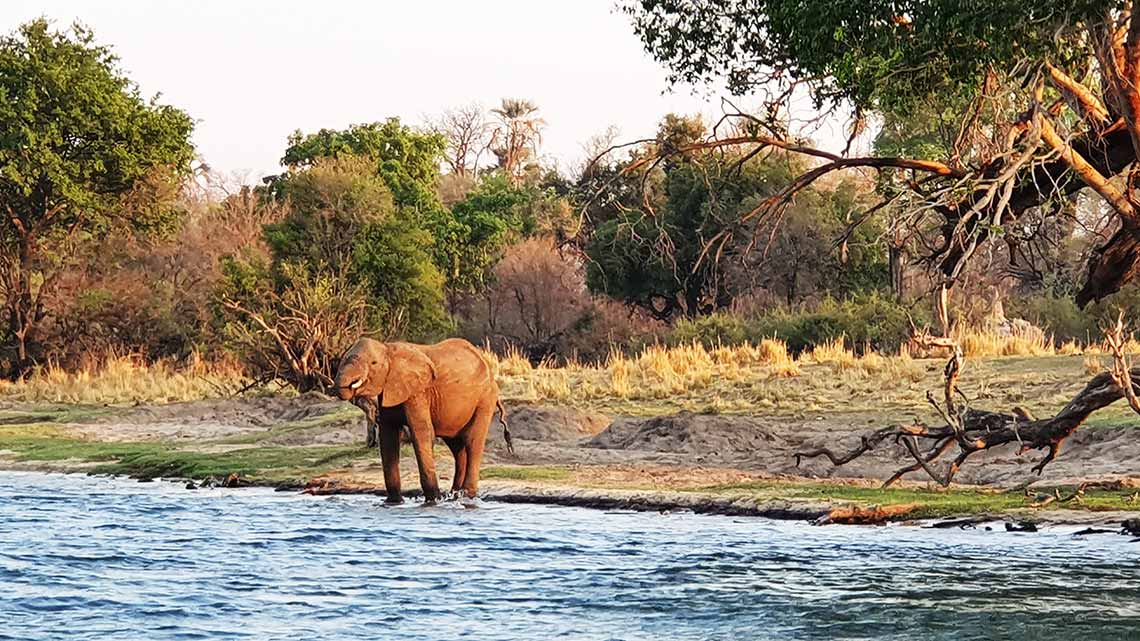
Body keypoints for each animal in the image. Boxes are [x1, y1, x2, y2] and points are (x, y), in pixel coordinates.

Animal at [332, 337, 515, 501]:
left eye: (373, 363)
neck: (388, 349)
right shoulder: (390, 390)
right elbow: (388, 438)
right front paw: (394, 501)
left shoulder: (417, 392)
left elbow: (422, 433)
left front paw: (433, 499)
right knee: (457, 448)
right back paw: (455, 495)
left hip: (484, 399)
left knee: (472, 442)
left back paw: (467, 495)